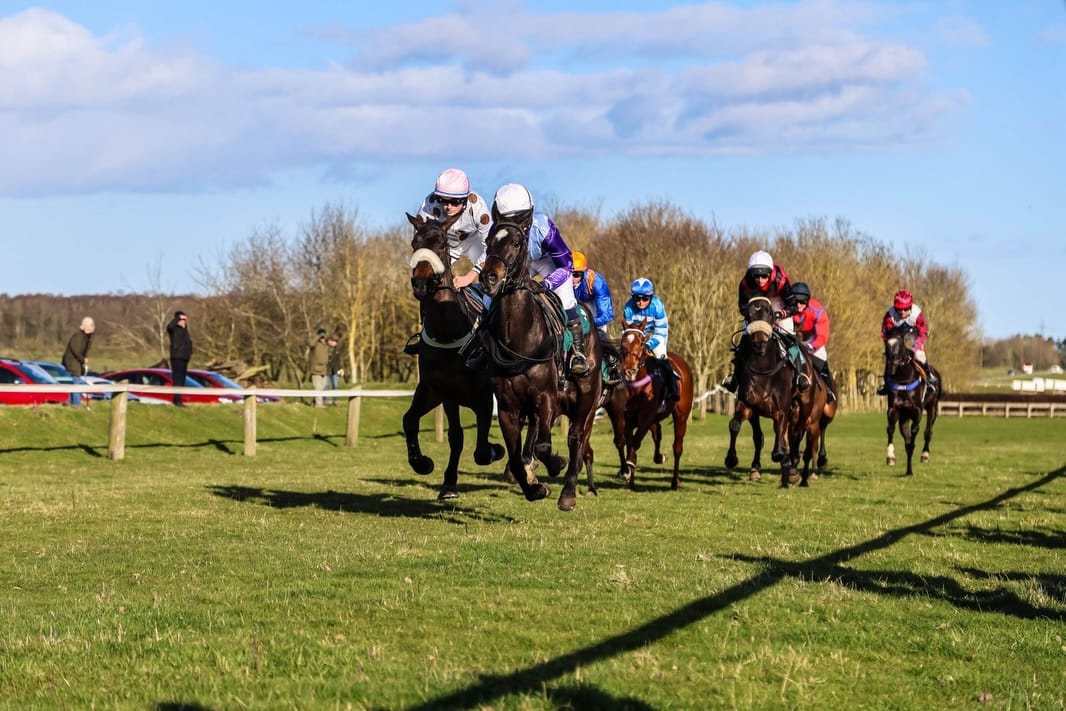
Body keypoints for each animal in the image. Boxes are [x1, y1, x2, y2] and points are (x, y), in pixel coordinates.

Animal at [401, 213, 504, 500]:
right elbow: (444, 432)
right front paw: (427, 467)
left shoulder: (483, 398)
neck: (448, 333)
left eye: (442, 245)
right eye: (414, 244)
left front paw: (496, 450)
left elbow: (482, 450)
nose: (421, 283)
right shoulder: (441, 392)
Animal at [478, 218, 603, 511]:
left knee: (577, 439)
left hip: (587, 401)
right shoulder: (508, 406)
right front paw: (534, 488)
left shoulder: (546, 398)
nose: (489, 277)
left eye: (515, 242)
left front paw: (556, 465)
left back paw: (568, 493)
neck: (519, 339)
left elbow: (545, 447)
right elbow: (516, 457)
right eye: (488, 242)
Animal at [616, 320, 694, 490]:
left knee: (677, 447)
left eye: (641, 342)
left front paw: (630, 463)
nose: (629, 371)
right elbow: (630, 442)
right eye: (623, 343)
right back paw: (659, 457)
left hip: (681, 416)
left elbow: (636, 440)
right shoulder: (629, 418)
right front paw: (629, 477)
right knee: (657, 434)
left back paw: (675, 482)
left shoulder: (646, 414)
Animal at [723, 296, 830, 487]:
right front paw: (736, 461)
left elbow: (780, 445)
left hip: (806, 408)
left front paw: (785, 463)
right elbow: (743, 430)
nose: (759, 343)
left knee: (798, 435)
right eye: (748, 314)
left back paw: (794, 470)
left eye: (770, 313)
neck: (763, 369)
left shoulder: (781, 410)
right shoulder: (748, 405)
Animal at [884, 325, 941, 476]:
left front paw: (910, 468)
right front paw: (891, 457)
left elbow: (914, 435)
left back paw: (925, 455)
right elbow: (891, 430)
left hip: (932, 408)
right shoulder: (894, 409)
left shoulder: (917, 411)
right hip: (904, 417)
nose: (891, 367)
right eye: (887, 344)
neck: (903, 379)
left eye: (900, 343)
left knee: (928, 432)